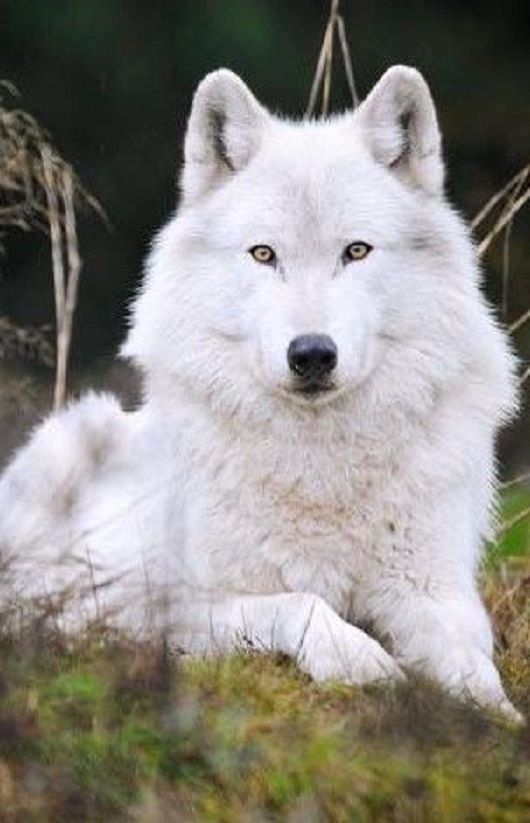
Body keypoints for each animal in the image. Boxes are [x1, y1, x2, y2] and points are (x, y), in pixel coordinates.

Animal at [0, 66, 521, 722]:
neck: (321, 471)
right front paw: (360, 659)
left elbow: (470, 662)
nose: (312, 354)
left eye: (356, 251)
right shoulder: (149, 605)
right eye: (264, 254)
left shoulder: (436, 591)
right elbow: (298, 602)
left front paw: (494, 715)